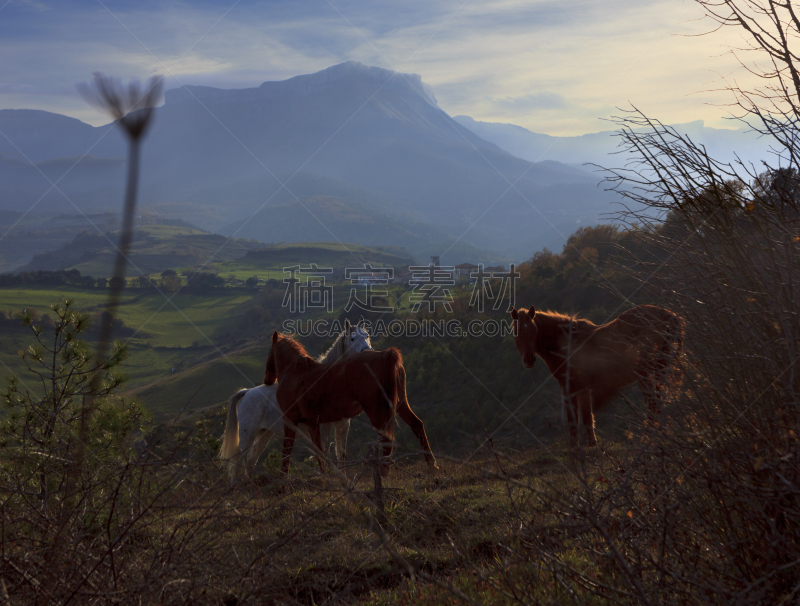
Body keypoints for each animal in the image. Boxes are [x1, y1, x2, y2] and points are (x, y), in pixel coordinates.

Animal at [217, 318, 370, 484]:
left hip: (264, 434)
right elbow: (324, 453)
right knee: (237, 462)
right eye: (352, 339)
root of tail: (246, 393)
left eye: (367, 336)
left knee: (251, 460)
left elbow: (340, 454)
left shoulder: (342, 426)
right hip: (248, 436)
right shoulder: (323, 427)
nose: (367, 351)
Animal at [264, 330, 438, 478]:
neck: (296, 372)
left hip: (375, 410)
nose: (267, 380)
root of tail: (385, 355)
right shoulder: (313, 423)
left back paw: (384, 471)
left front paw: (283, 478)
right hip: (400, 404)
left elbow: (287, 450)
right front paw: (326, 476)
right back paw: (431, 465)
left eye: (269, 352)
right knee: (417, 425)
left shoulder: (290, 420)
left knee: (387, 437)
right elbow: (320, 451)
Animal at [510, 304, 684, 446]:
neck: (566, 341)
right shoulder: (583, 388)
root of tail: (671, 316)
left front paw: (575, 452)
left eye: (534, 331)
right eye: (516, 332)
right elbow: (587, 418)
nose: (529, 360)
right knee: (658, 404)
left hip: (646, 374)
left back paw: (647, 440)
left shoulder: (569, 388)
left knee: (652, 405)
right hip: (660, 370)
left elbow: (573, 420)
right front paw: (593, 447)